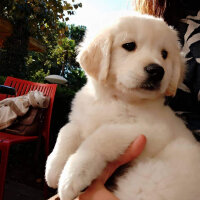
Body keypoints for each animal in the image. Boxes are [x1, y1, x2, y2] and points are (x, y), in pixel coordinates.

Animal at [45, 14, 200, 200]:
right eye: (129, 46)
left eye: (164, 54)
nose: (157, 71)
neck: (116, 99)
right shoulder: (82, 118)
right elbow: (67, 131)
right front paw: (53, 168)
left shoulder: (153, 131)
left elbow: (103, 135)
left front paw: (73, 175)